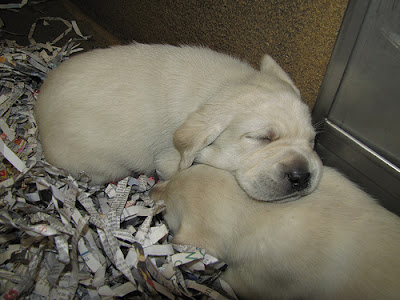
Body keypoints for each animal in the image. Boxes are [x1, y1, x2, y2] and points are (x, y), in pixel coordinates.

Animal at [34, 44, 322, 202]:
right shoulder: (170, 162)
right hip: (100, 166)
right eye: (263, 138)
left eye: (312, 141)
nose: (301, 176)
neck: (223, 86)